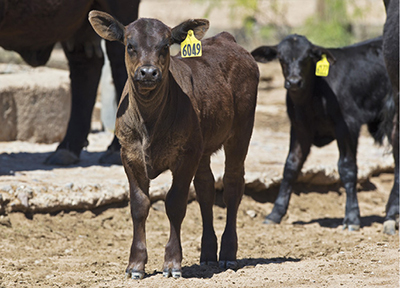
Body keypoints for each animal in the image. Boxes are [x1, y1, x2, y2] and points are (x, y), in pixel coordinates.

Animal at [89, 11, 260, 280]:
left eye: (165, 45)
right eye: (130, 45)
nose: (148, 72)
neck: (149, 121)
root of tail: (225, 38)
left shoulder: (186, 156)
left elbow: (175, 204)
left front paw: (172, 263)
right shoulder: (129, 155)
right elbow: (139, 205)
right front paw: (135, 265)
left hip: (241, 131)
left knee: (233, 185)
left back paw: (227, 254)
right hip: (203, 146)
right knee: (205, 187)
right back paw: (207, 254)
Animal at [253, 35, 394, 231]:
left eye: (308, 57)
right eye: (281, 58)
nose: (294, 81)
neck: (313, 97)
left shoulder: (348, 126)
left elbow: (347, 168)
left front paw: (352, 218)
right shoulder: (300, 129)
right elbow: (291, 167)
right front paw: (275, 214)